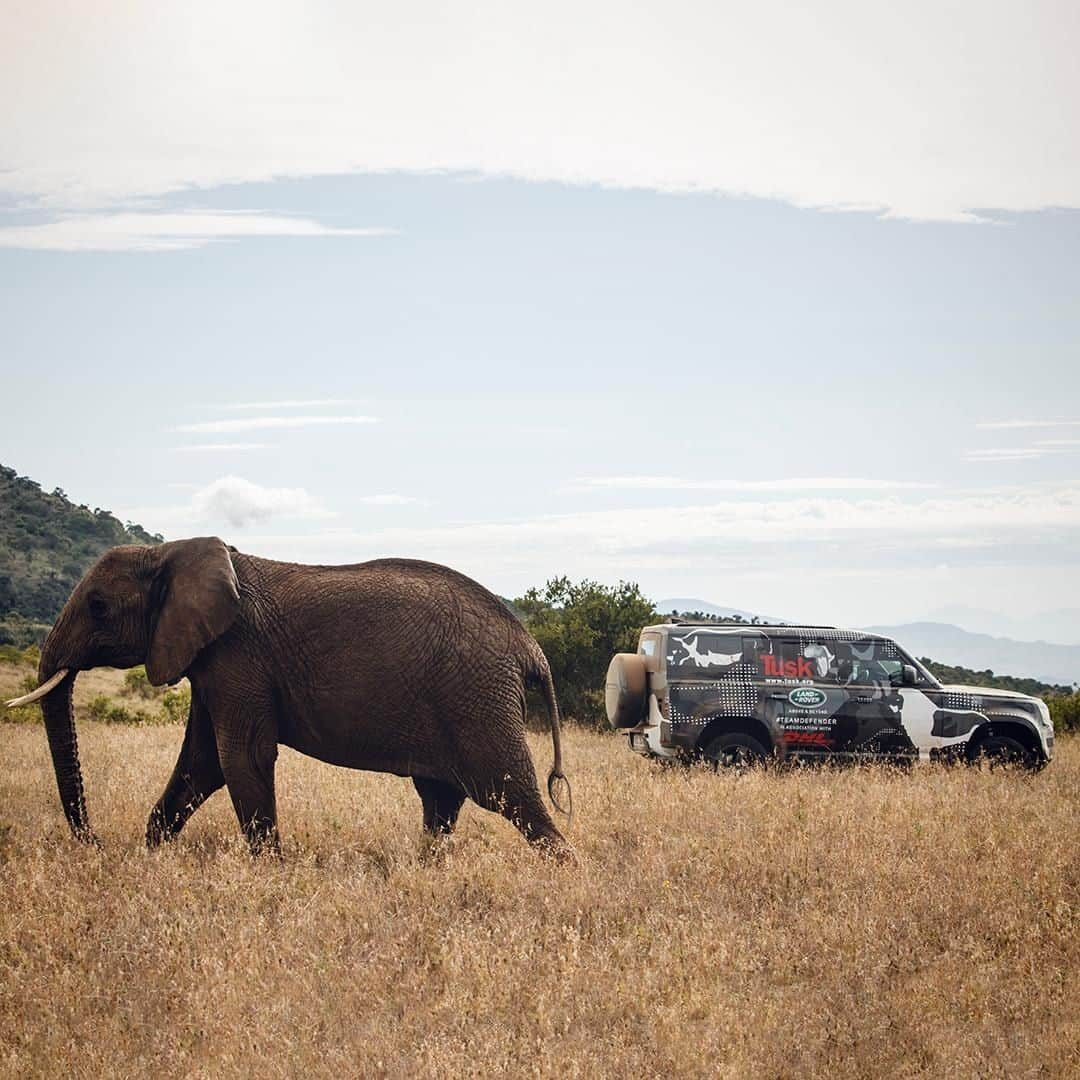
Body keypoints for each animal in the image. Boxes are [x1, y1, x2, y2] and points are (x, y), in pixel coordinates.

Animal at [6, 540, 574, 859]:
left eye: (98, 606)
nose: (97, 844)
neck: (171, 553)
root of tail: (530, 647)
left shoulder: (237, 654)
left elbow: (241, 758)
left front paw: (268, 872)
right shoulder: (211, 662)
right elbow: (202, 763)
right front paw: (151, 857)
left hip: (479, 700)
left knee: (512, 797)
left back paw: (564, 876)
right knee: (441, 801)